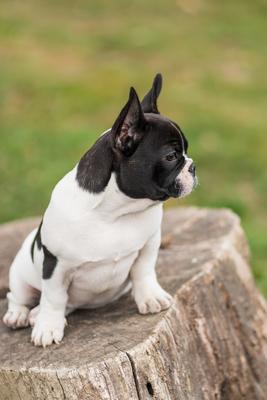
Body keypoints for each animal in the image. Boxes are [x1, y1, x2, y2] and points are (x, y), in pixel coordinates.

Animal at [3, 74, 198, 346]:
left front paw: (150, 297)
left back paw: (35, 313)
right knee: (18, 296)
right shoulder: (55, 264)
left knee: (66, 304)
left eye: (185, 152)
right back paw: (20, 315)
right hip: (20, 273)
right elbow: (54, 297)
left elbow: (144, 271)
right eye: (171, 156)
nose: (193, 166)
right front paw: (48, 327)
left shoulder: (149, 244)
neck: (116, 213)